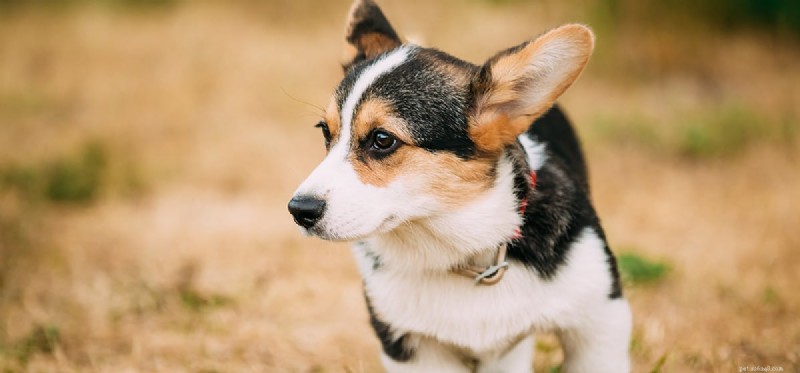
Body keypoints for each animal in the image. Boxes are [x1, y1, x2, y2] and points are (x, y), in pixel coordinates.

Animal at [288, 1, 632, 370]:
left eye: (383, 139)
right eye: (325, 131)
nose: (299, 210)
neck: (463, 253)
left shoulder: (600, 322)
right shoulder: (411, 347)